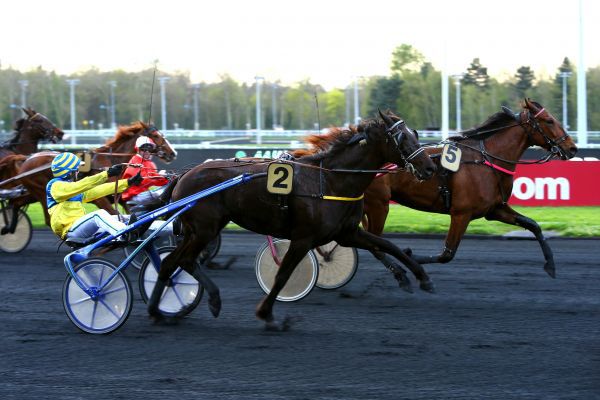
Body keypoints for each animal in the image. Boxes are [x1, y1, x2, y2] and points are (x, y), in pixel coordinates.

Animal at [1, 122, 176, 234]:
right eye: (155, 135)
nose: (173, 153)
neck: (111, 159)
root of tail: (28, 159)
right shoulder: (100, 199)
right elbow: (112, 213)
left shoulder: (119, 196)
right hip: (40, 192)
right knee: (44, 218)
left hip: (31, 193)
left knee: (15, 203)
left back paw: (8, 228)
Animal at [145, 111, 436, 330]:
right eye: (402, 137)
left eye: (415, 133)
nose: (430, 167)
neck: (331, 180)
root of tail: (183, 175)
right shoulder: (303, 238)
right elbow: (283, 274)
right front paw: (267, 314)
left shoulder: (347, 233)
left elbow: (388, 245)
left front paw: (421, 277)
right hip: (205, 229)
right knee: (183, 260)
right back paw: (210, 300)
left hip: (197, 230)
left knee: (170, 262)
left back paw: (158, 311)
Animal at [360, 98, 576, 278]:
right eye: (549, 120)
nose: (572, 148)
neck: (487, 160)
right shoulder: (461, 213)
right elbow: (446, 254)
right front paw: (409, 256)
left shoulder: (494, 209)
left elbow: (533, 225)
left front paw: (550, 265)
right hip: (379, 205)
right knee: (374, 242)